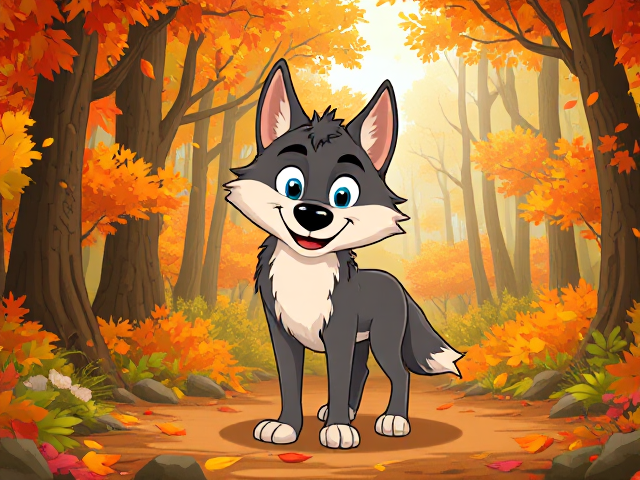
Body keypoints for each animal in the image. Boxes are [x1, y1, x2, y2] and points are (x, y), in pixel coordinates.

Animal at [224, 58, 463, 449]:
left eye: (343, 195)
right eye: (292, 186)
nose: (312, 215)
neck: (304, 275)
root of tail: (398, 286)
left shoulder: (339, 331)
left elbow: (336, 378)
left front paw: (338, 429)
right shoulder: (282, 333)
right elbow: (290, 384)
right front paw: (287, 426)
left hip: (381, 339)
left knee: (398, 374)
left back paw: (393, 420)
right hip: (363, 342)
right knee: (362, 371)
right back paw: (348, 413)